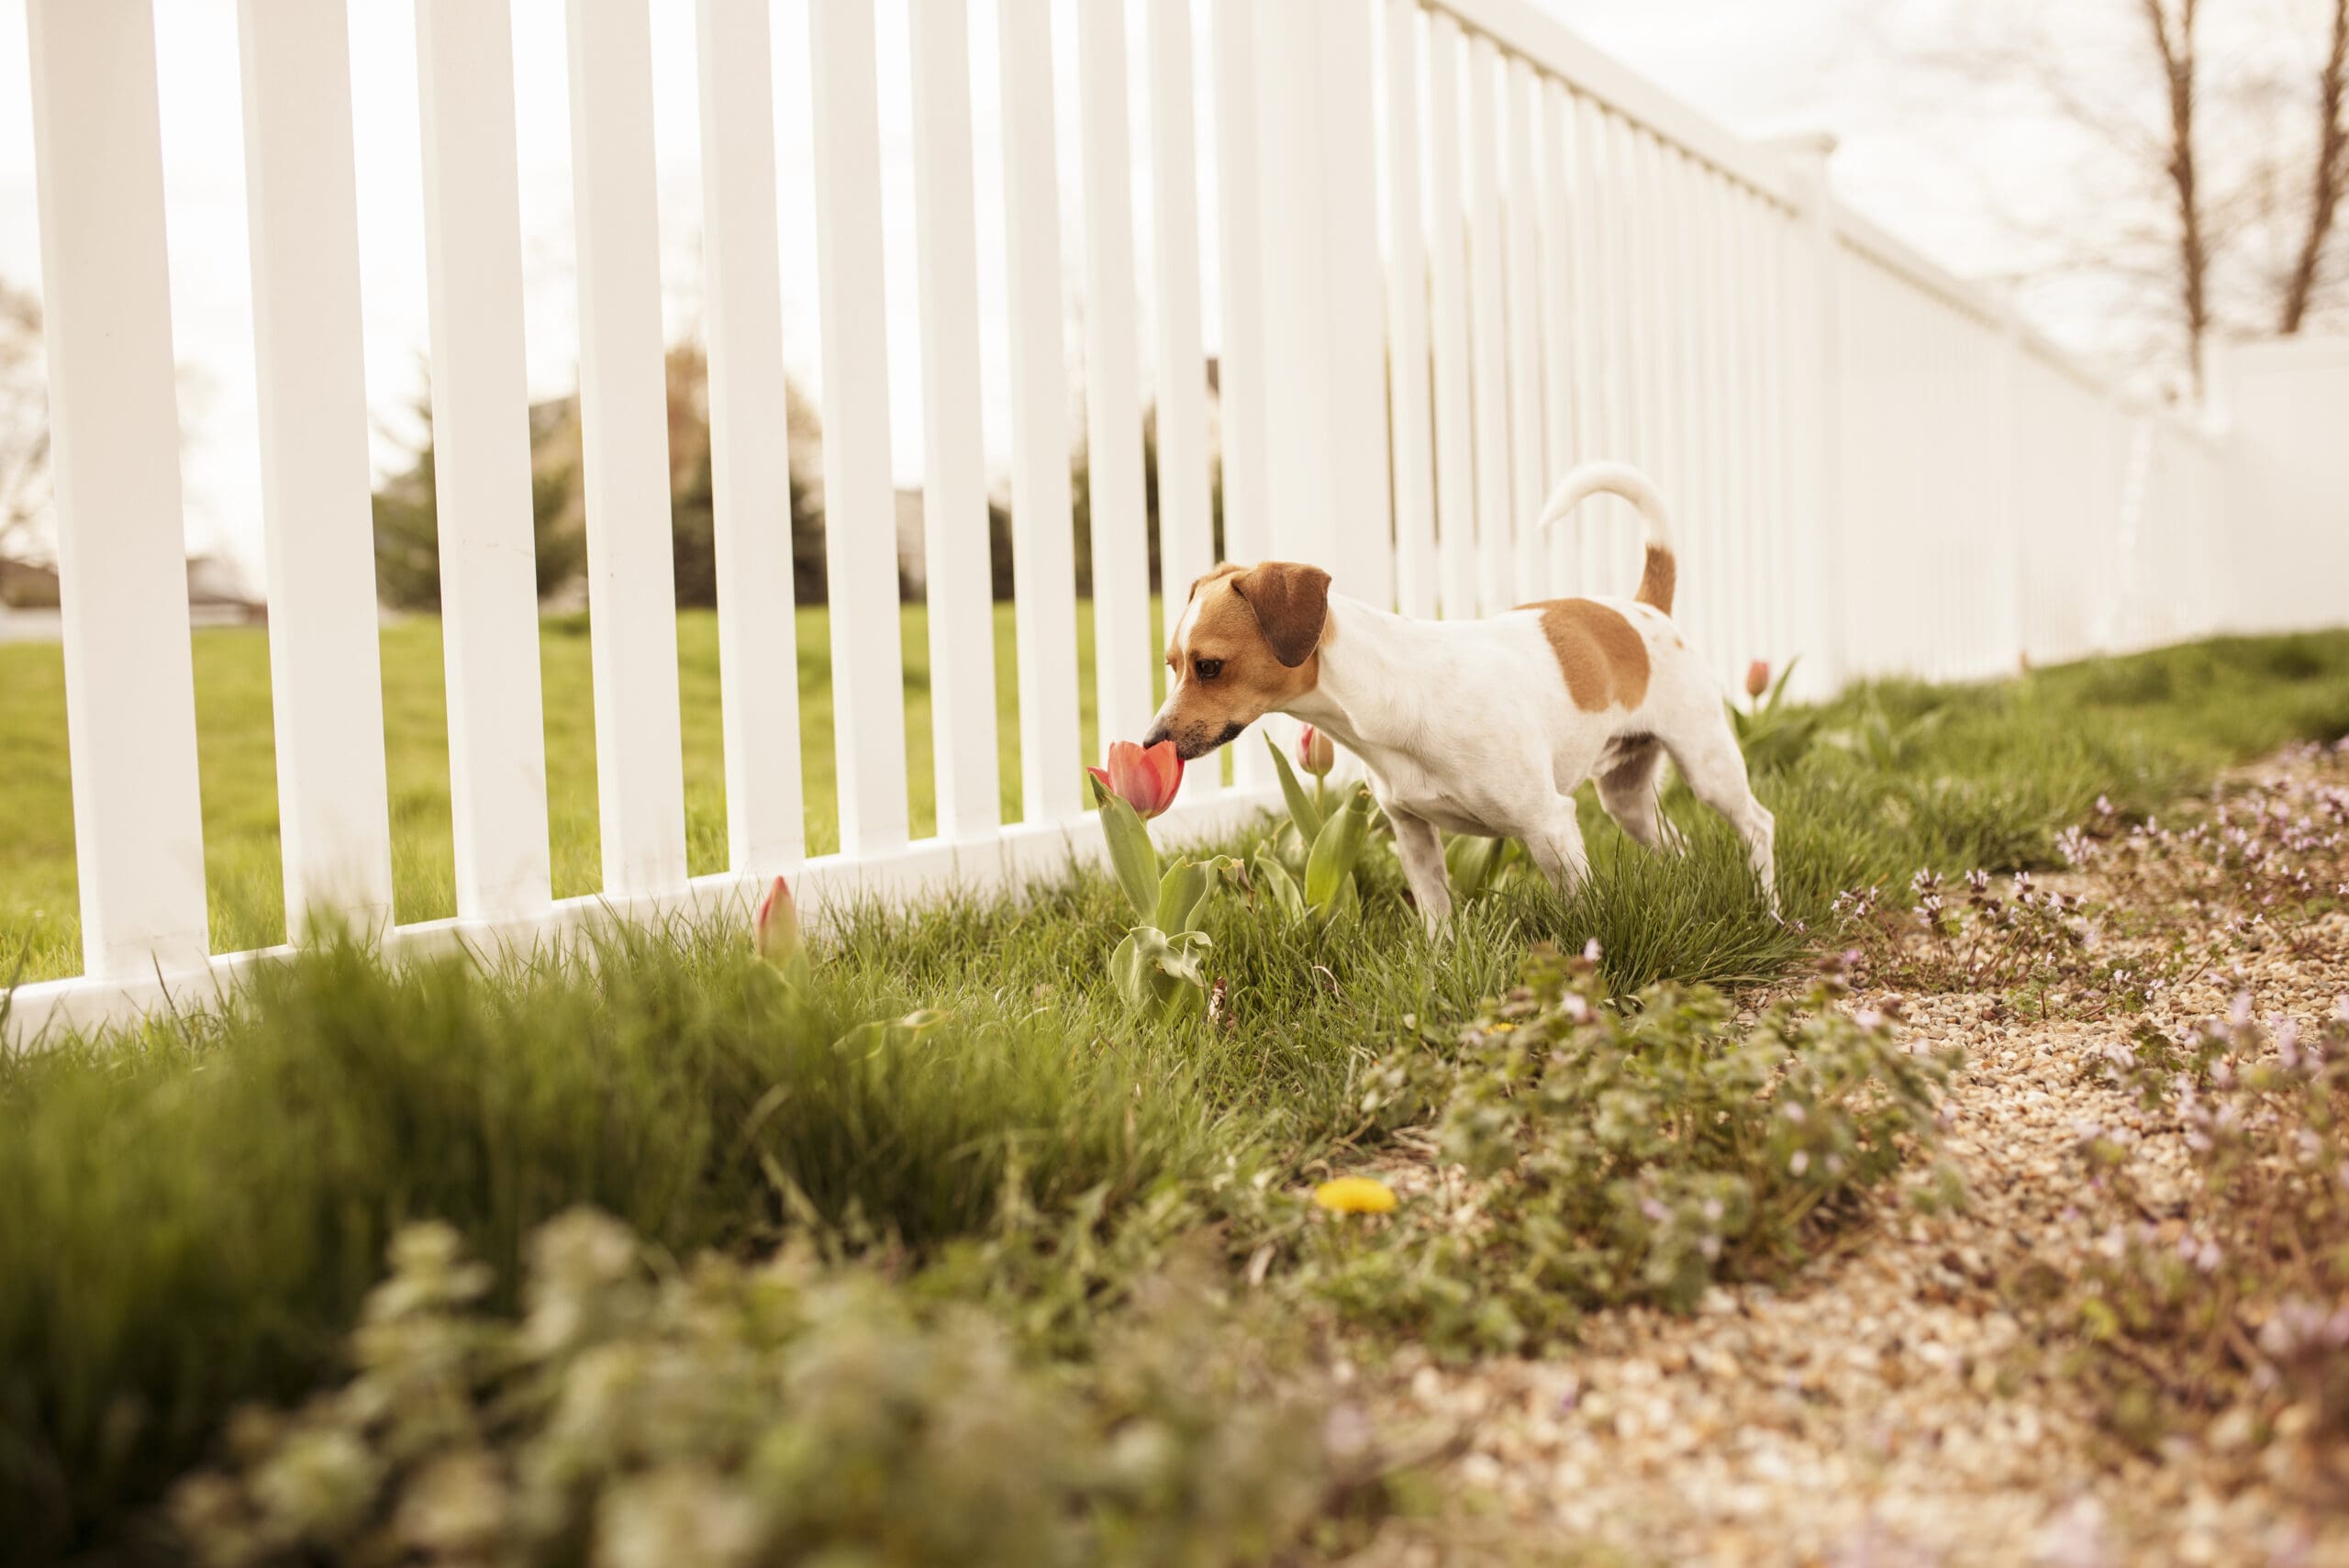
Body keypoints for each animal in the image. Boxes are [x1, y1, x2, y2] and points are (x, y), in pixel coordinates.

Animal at [1141, 462, 1776, 929]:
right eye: (1171, 665)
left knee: (1759, 823)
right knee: (1676, 843)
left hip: (1709, 766)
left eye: (1209, 667)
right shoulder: (1412, 833)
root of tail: (1642, 608)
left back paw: (1768, 908)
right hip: (1627, 797)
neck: (1394, 695)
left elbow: (1583, 913)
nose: (1150, 741)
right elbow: (1437, 916)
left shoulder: (1549, 824)